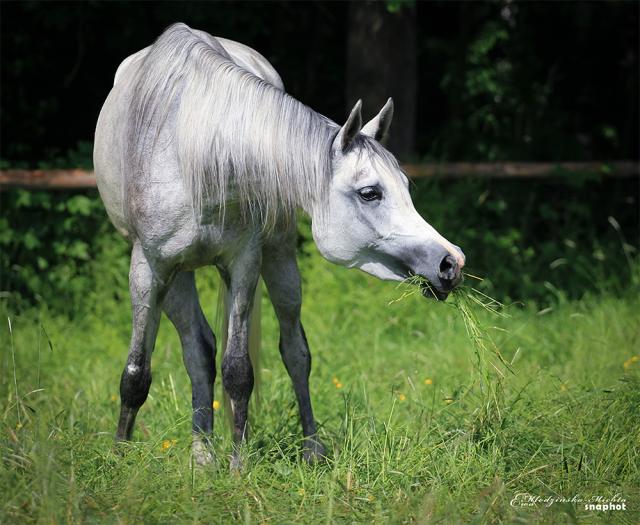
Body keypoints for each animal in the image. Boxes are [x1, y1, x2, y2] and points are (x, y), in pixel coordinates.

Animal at [94, 24, 464, 466]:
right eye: (370, 193)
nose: (451, 262)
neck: (191, 154)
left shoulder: (243, 264)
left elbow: (239, 370)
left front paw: (237, 466)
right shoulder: (149, 269)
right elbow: (136, 373)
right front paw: (118, 457)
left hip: (278, 257)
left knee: (294, 353)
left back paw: (310, 449)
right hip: (177, 277)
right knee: (198, 351)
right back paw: (201, 455)